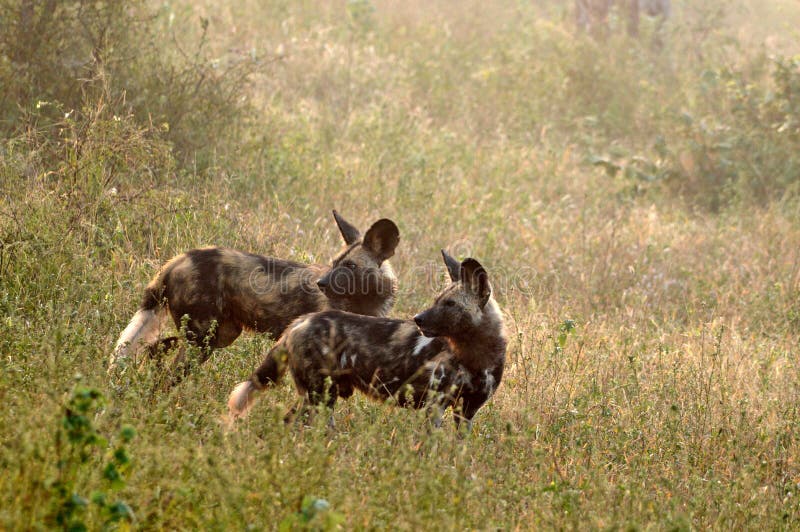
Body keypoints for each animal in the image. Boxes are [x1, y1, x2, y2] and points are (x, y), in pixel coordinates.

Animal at [109, 210, 400, 380]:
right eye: (334, 263)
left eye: (349, 266)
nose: (322, 283)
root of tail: (180, 258)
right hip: (203, 339)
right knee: (166, 373)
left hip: (219, 335)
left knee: (154, 349)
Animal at [228, 250, 506, 432]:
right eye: (438, 300)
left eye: (449, 304)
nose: (418, 319)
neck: (477, 356)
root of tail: (300, 322)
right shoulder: (436, 405)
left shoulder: (467, 412)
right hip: (319, 397)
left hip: (319, 397)